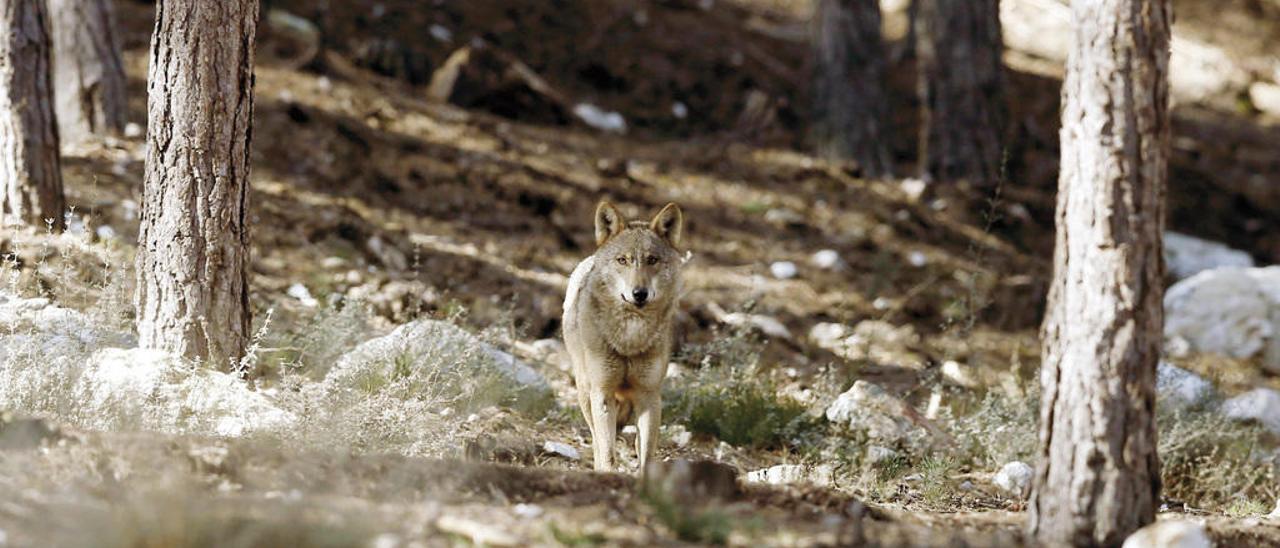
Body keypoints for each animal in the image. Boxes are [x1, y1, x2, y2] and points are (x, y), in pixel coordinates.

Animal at [565, 199, 686, 471]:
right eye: (622, 260)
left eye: (652, 260)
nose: (639, 293)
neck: (630, 337)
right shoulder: (602, 393)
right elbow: (607, 453)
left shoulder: (649, 396)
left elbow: (646, 458)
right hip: (585, 393)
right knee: (596, 442)